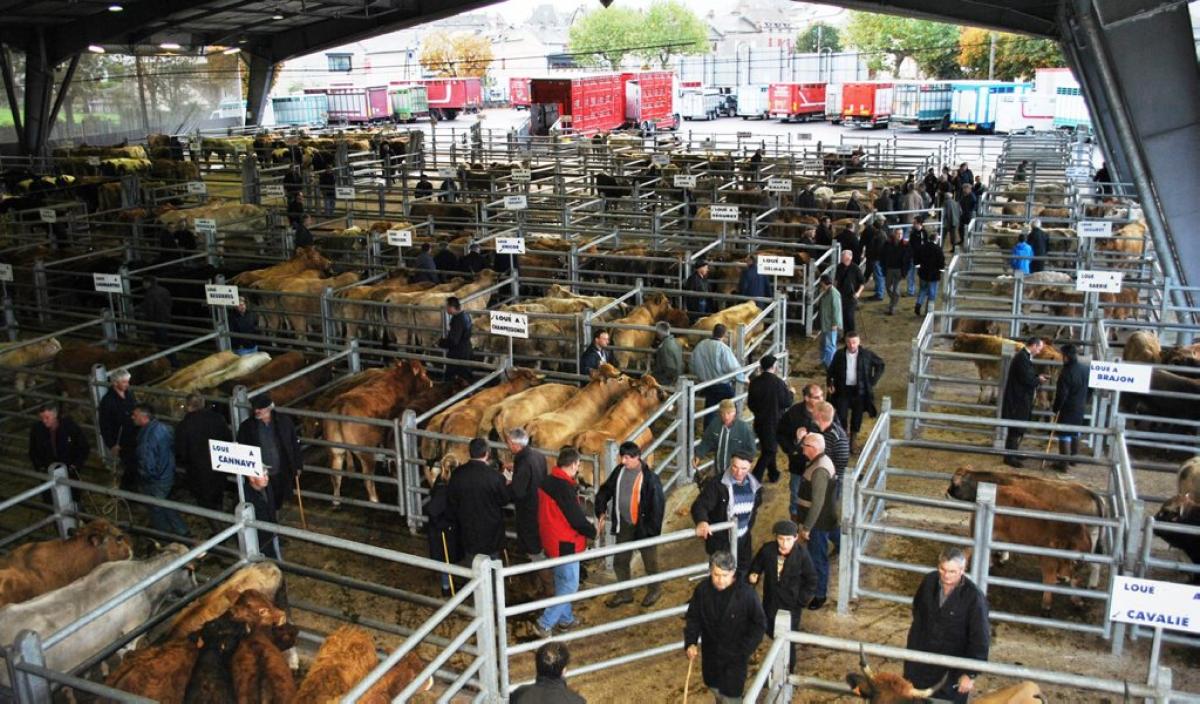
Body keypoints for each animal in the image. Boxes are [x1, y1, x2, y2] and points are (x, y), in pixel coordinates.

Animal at [326, 359, 434, 503]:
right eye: (423, 373)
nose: (431, 383)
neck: (399, 381)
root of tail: (341, 405)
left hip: (335, 451)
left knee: (335, 475)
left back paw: (336, 499)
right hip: (366, 453)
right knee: (368, 478)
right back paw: (374, 499)